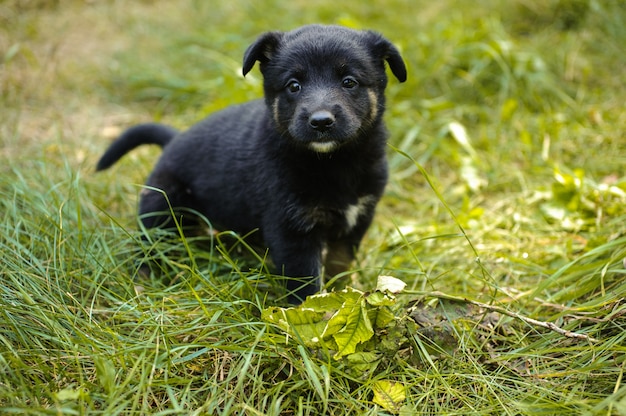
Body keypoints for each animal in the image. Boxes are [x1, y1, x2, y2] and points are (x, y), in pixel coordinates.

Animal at [97, 25, 404, 302]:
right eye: (294, 85)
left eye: (349, 81)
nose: (320, 121)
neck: (333, 162)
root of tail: (175, 138)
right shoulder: (291, 228)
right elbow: (306, 282)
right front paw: (314, 313)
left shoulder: (358, 217)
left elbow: (339, 262)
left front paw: (342, 292)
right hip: (162, 204)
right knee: (149, 243)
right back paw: (145, 278)